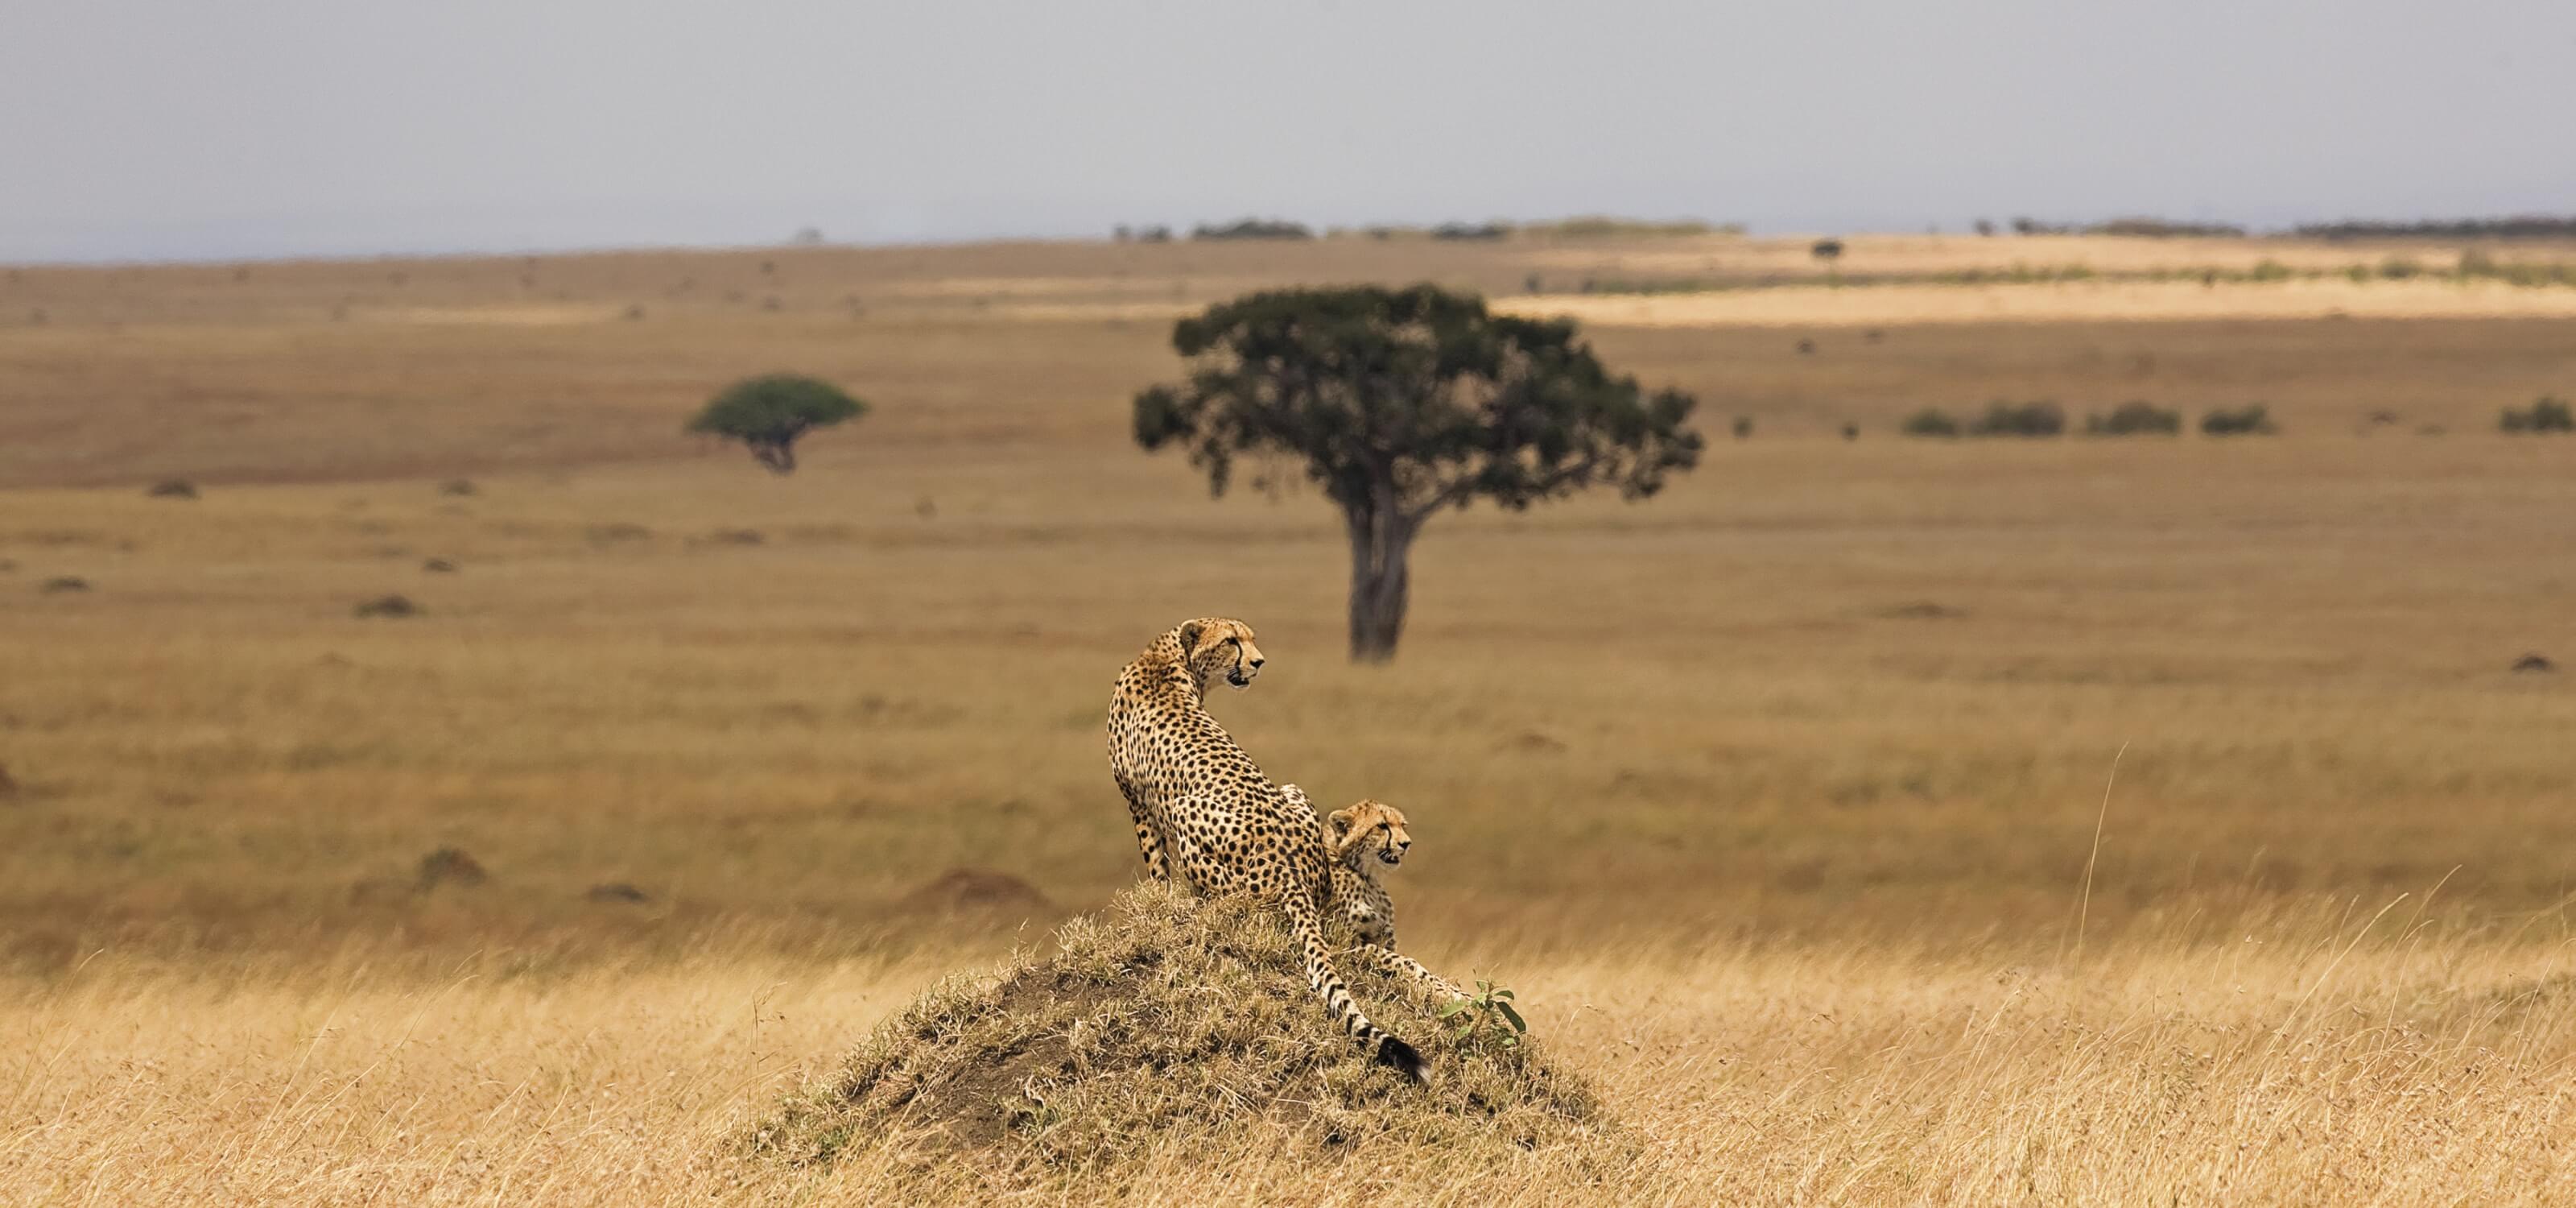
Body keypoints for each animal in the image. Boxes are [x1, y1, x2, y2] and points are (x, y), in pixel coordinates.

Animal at [1108, 615, 1432, 1076]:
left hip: (1188, 813)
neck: (1167, 657)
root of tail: (1288, 864)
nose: (1259, 662)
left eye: (1250, 639)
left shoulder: (1138, 803)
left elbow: (1157, 872)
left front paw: (1162, 904)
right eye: (1231, 641)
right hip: (1293, 790)